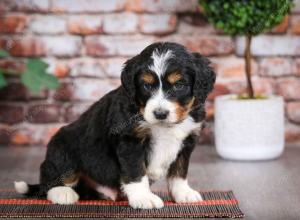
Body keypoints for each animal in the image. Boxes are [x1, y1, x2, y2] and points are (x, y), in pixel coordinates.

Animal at [14, 42, 216, 209]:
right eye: (146, 85)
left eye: (179, 85)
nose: (160, 113)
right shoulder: (129, 140)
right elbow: (136, 171)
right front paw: (144, 198)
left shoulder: (187, 140)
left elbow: (179, 172)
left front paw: (184, 193)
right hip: (62, 146)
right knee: (52, 178)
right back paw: (62, 193)